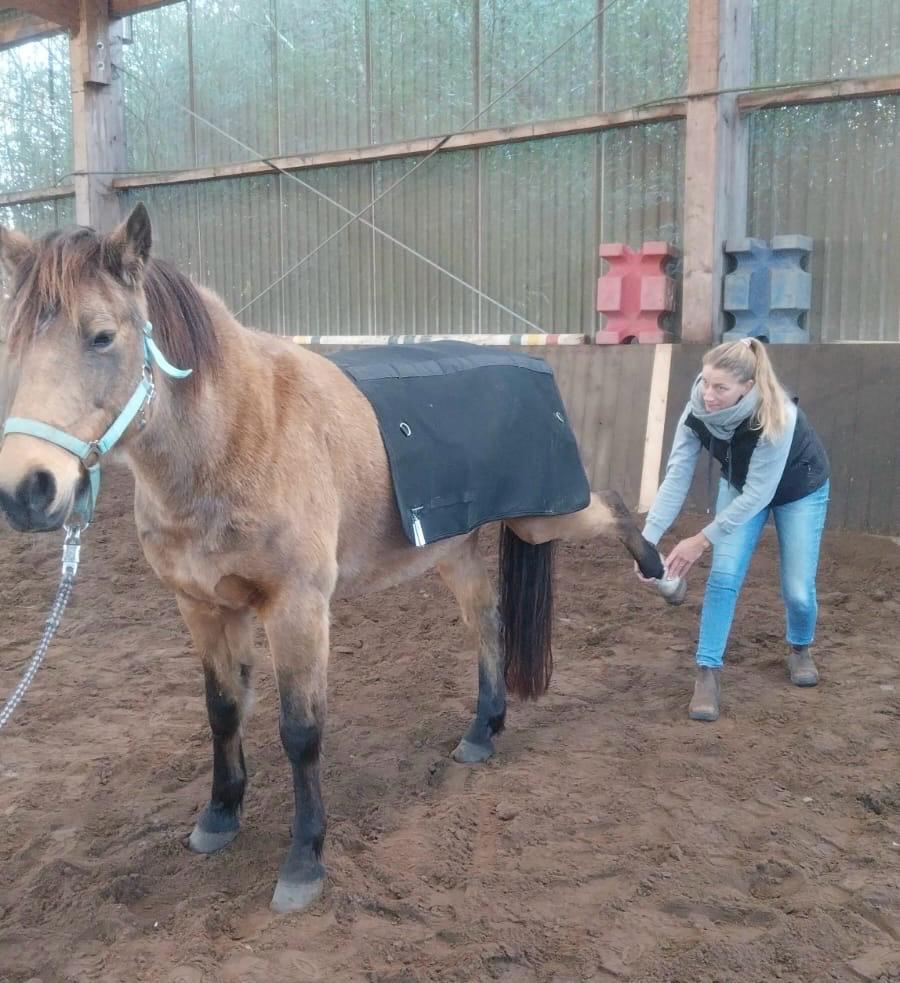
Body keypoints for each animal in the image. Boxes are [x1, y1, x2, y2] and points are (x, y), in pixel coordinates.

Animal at [0, 204, 669, 913]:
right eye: (15, 343)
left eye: (101, 336)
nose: (26, 490)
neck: (238, 435)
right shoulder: (204, 607)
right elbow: (223, 711)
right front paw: (220, 817)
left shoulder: (296, 608)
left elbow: (301, 732)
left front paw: (304, 860)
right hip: (454, 549)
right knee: (487, 622)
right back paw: (483, 731)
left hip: (542, 519)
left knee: (613, 507)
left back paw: (660, 573)